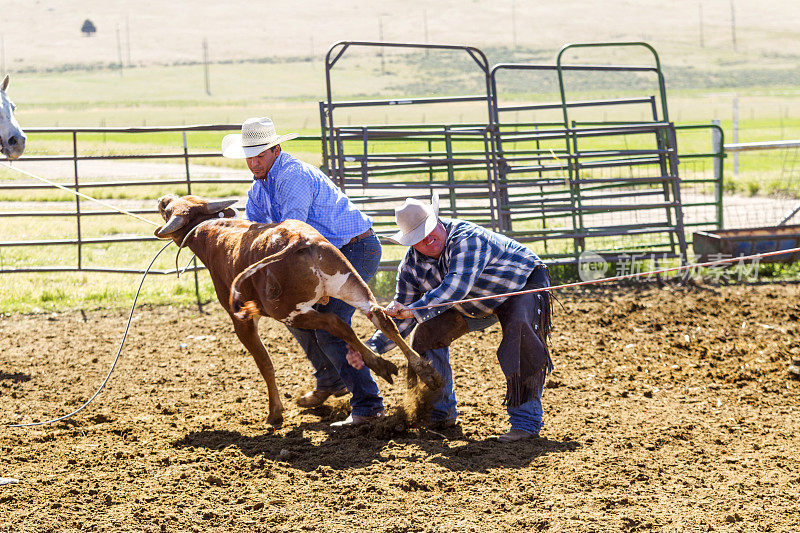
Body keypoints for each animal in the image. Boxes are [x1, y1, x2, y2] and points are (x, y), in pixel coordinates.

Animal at [155, 195, 444, 424]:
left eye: (167, 209)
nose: (163, 199)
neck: (211, 233)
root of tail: (296, 238)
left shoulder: (242, 322)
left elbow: (265, 363)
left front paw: (274, 414)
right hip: (350, 285)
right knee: (380, 319)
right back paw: (425, 373)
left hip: (289, 311)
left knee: (335, 324)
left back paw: (380, 366)